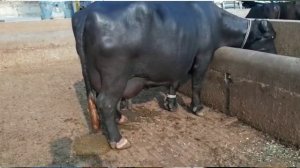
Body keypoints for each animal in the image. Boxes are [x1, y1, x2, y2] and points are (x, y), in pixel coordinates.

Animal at [72, 1, 276, 150]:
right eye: (271, 37)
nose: (276, 53)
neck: (215, 23)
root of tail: (87, 13)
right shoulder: (203, 57)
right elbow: (197, 84)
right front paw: (197, 108)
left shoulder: (177, 63)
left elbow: (174, 84)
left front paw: (171, 104)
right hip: (114, 76)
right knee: (105, 102)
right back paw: (118, 140)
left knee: (102, 100)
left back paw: (120, 117)